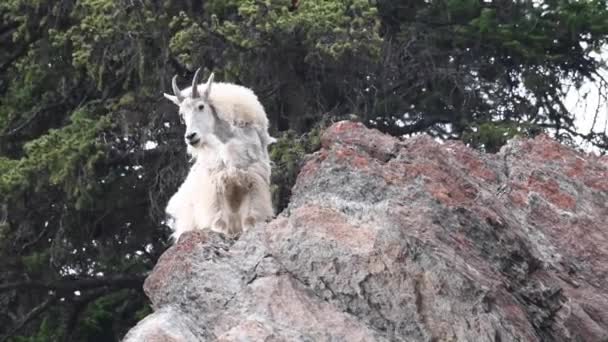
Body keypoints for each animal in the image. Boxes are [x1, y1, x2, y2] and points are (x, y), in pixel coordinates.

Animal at [163, 69, 274, 240]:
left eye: (201, 106)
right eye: (182, 115)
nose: (191, 137)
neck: (227, 140)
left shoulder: (253, 181)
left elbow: (250, 220)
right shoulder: (215, 186)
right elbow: (220, 224)